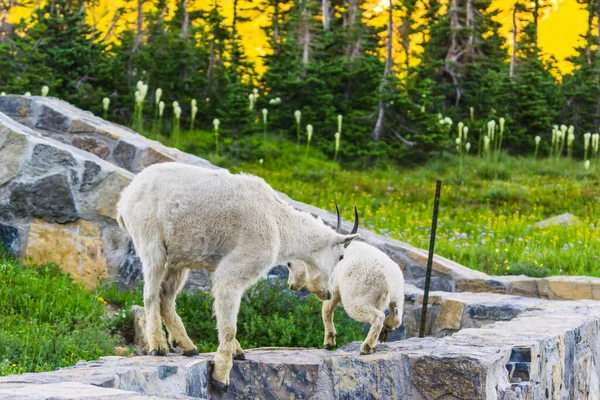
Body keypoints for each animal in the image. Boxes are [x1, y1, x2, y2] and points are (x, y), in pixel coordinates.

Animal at [118, 162, 360, 388]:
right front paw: (222, 375)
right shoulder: (239, 265)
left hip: (179, 255)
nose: (328, 293)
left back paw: (187, 346)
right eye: (341, 256)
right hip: (151, 241)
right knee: (151, 293)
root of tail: (125, 198)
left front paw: (237, 352)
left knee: (167, 296)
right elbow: (229, 322)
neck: (279, 223)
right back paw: (158, 346)